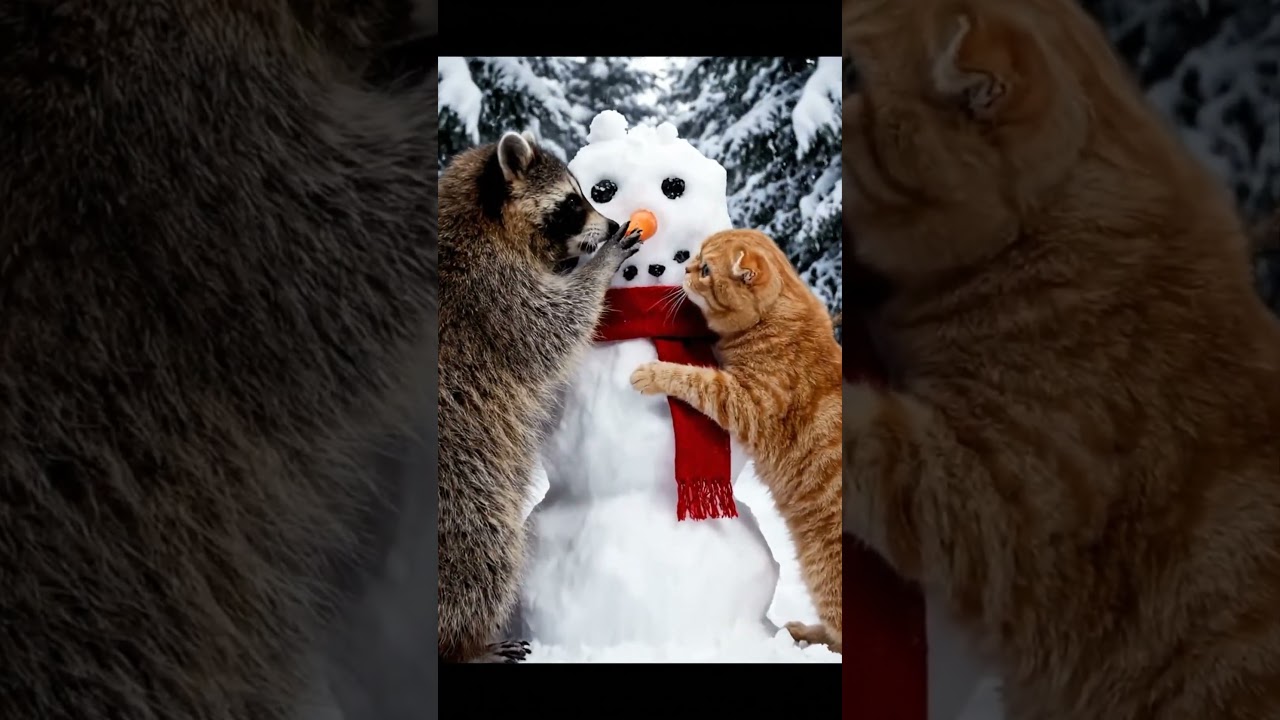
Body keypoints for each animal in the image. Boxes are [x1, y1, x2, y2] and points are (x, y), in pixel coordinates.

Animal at [439, 131, 640, 663]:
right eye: (571, 203)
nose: (611, 224)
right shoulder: (489, 288)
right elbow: (551, 329)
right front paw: (601, 265)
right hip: (460, 483)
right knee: (480, 549)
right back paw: (464, 645)